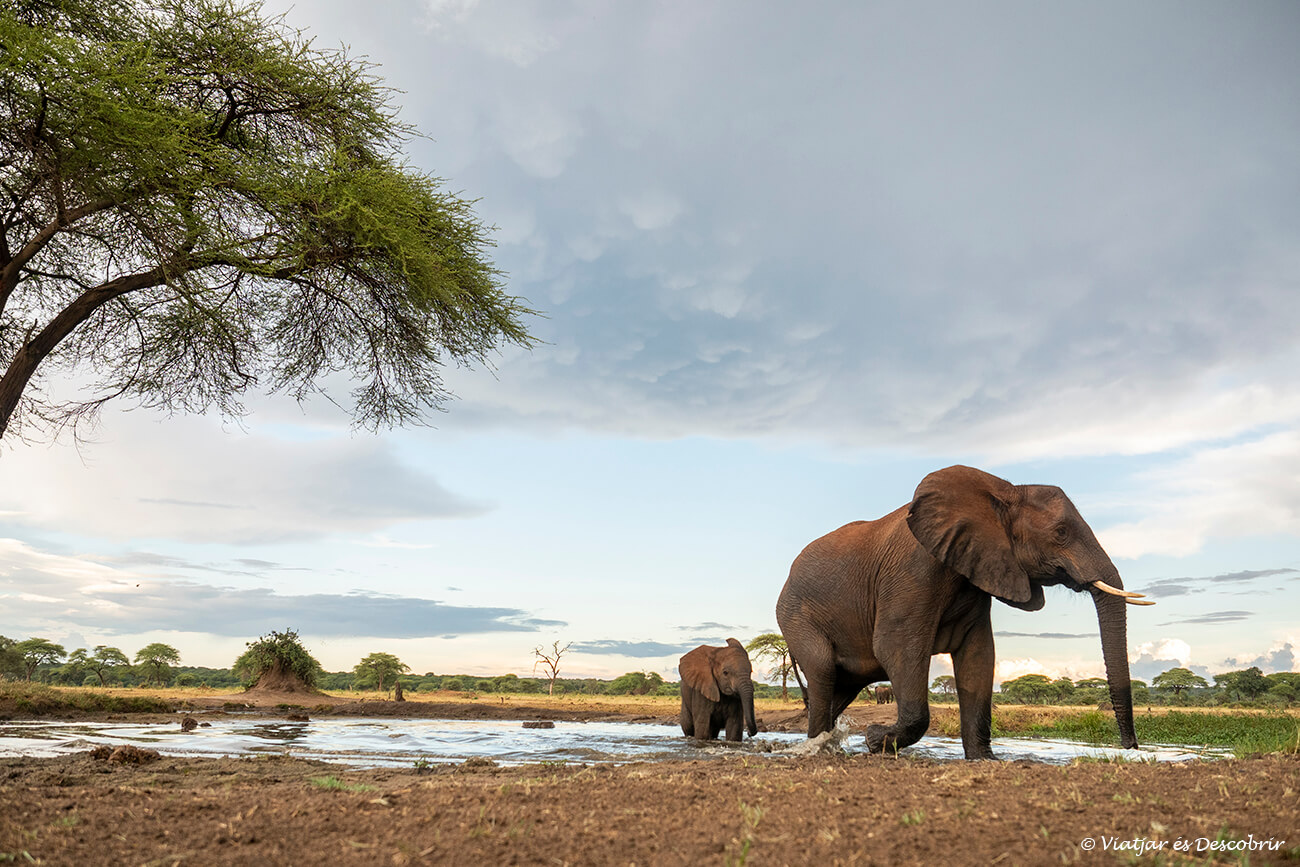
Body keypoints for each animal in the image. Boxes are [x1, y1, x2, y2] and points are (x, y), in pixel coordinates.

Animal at [775, 465, 1152, 760]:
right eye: (1060, 532)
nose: (1131, 746)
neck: (1002, 492)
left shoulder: (978, 570)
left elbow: (978, 656)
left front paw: (984, 759)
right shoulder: (914, 572)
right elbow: (897, 647)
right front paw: (874, 739)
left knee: (841, 688)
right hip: (795, 615)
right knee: (823, 671)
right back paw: (818, 749)